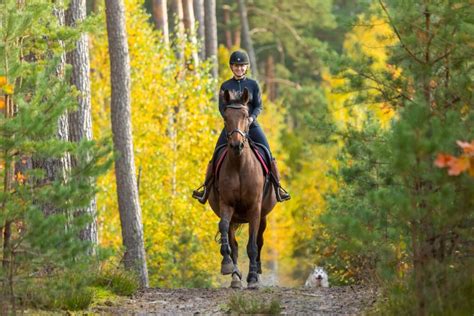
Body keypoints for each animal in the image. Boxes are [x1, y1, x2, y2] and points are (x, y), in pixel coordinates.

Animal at [208, 87, 278, 288]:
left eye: (246, 115)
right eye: (226, 117)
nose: (236, 144)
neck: (239, 165)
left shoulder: (255, 209)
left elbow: (253, 245)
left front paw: (253, 278)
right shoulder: (227, 205)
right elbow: (224, 230)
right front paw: (227, 265)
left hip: (263, 216)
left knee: (259, 241)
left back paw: (257, 271)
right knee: (235, 244)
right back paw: (235, 277)